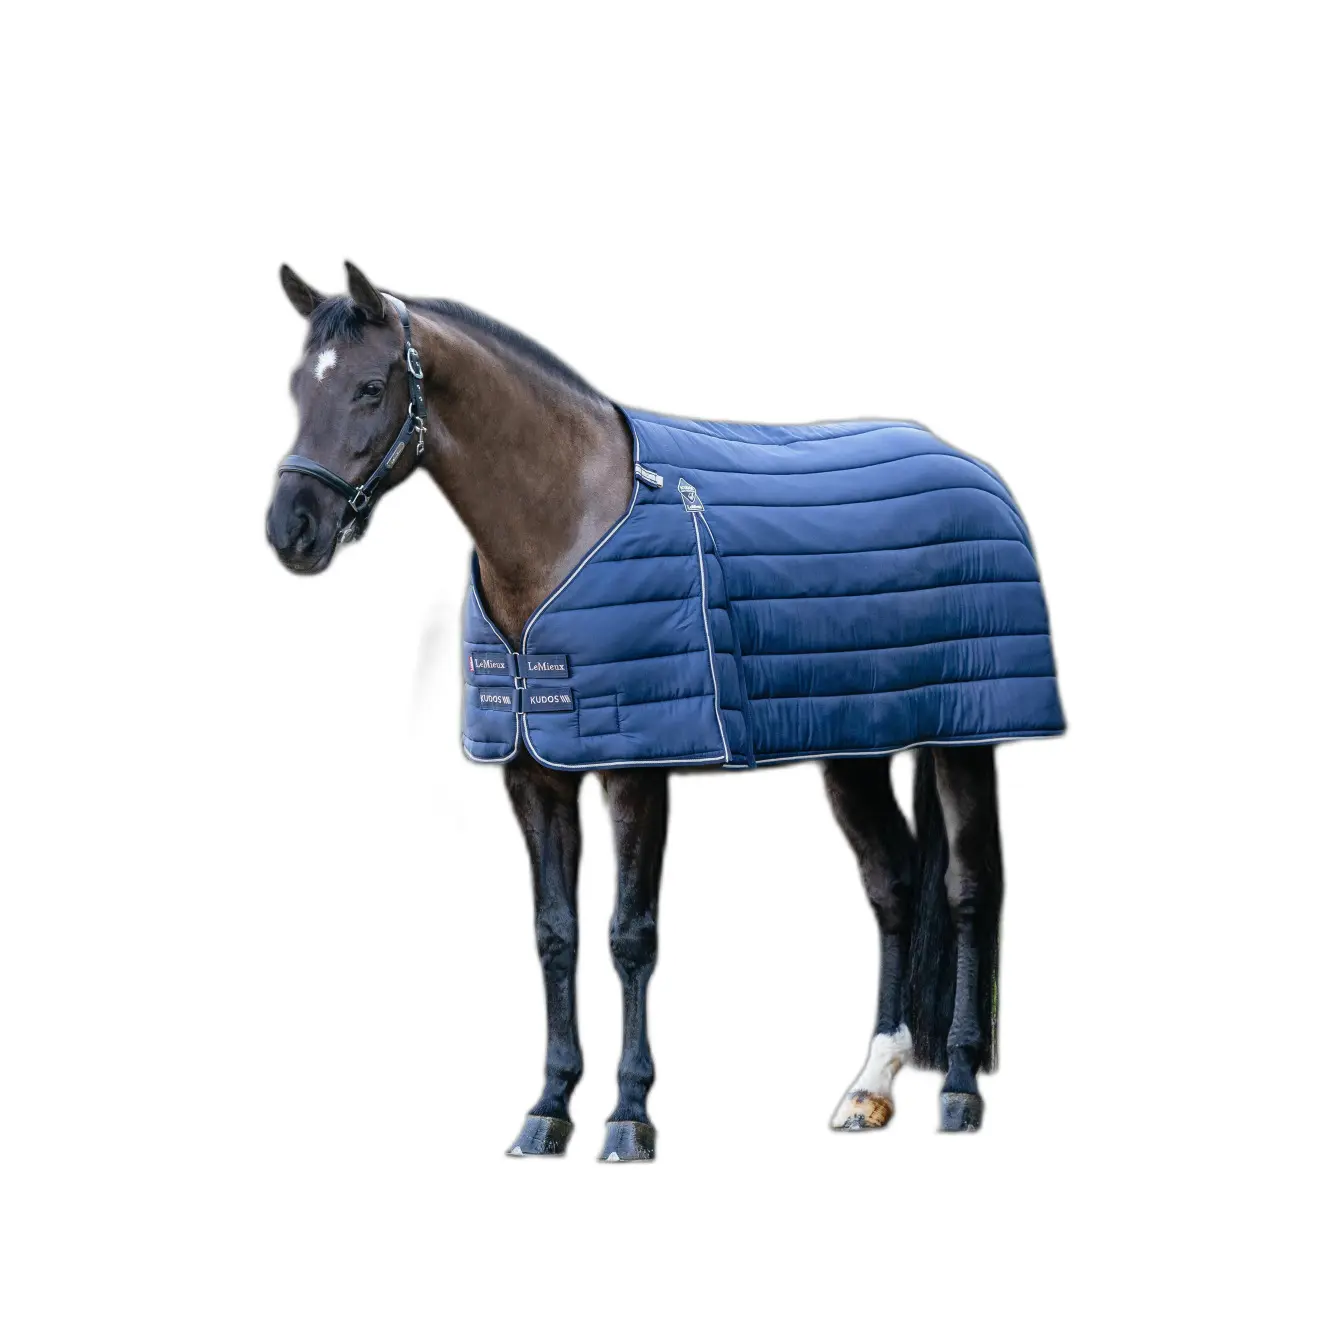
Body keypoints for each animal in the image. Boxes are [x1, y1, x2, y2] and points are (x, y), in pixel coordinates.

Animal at [265, 261, 1063, 1159]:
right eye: (297, 386)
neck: (568, 521)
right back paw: (870, 1084)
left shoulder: (634, 771)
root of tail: (973, 468)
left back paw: (959, 1089)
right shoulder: (535, 774)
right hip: (853, 748)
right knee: (892, 884)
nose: (291, 530)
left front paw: (628, 1116)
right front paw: (548, 1109)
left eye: (371, 386)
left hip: (968, 737)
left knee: (969, 890)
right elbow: (556, 934)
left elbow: (629, 936)